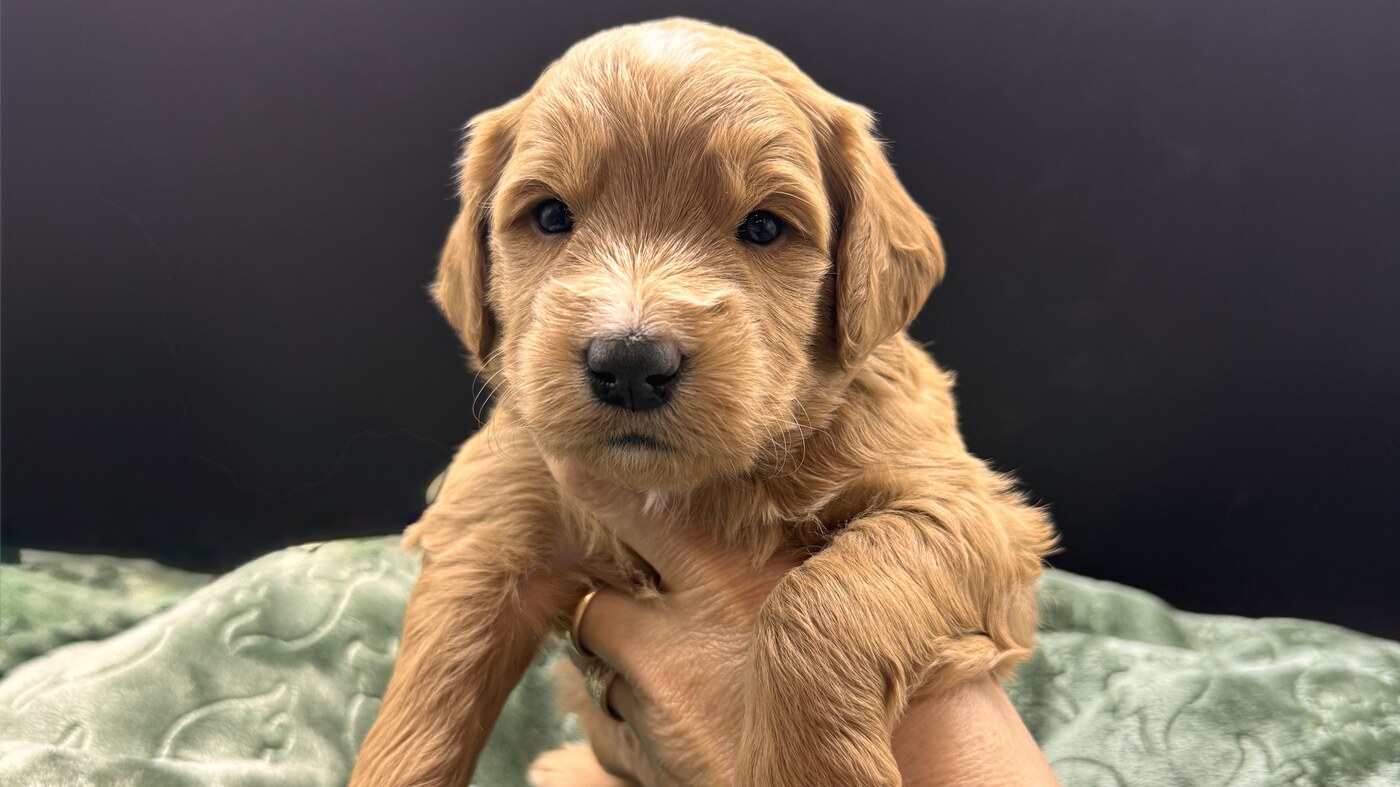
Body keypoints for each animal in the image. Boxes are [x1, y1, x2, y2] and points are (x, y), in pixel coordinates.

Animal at [351, 17, 1055, 786]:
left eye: (764, 227)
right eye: (550, 215)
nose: (630, 364)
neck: (683, 488)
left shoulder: (970, 510)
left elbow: (818, 598)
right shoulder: (493, 513)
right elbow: (428, 697)